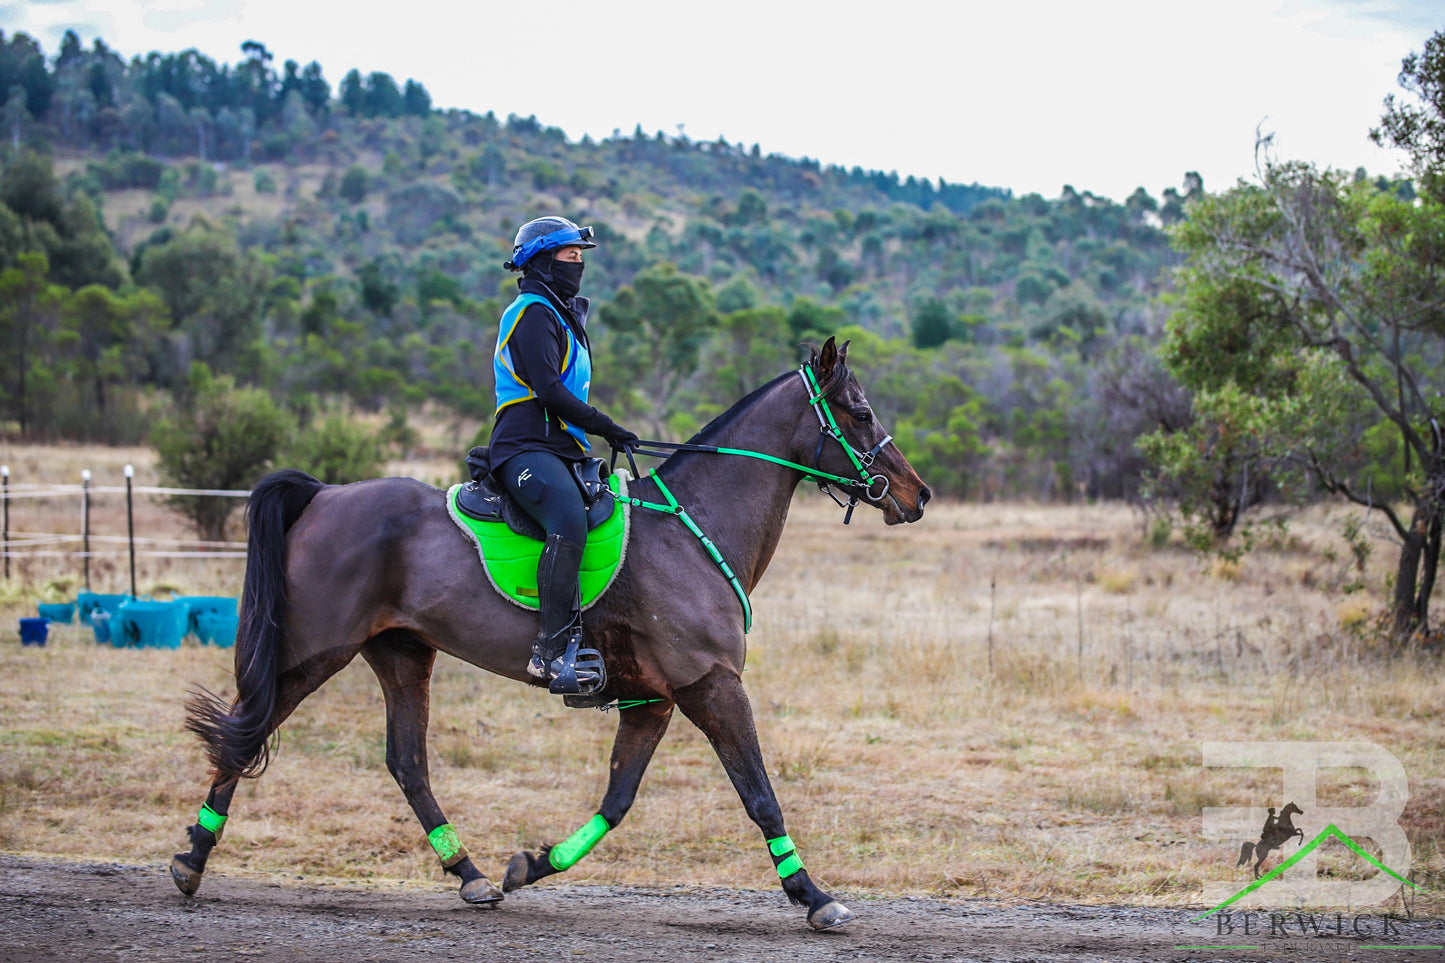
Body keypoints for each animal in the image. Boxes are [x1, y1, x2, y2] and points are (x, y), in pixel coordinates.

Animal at [171, 339, 936, 931]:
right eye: (860, 412)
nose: (916, 494)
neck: (691, 529)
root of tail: (326, 493)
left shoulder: (652, 701)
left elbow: (617, 802)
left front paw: (531, 865)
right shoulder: (712, 686)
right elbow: (759, 793)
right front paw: (813, 895)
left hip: (402, 655)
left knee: (407, 764)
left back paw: (472, 874)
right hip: (312, 654)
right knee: (245, 731)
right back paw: (191, 860)